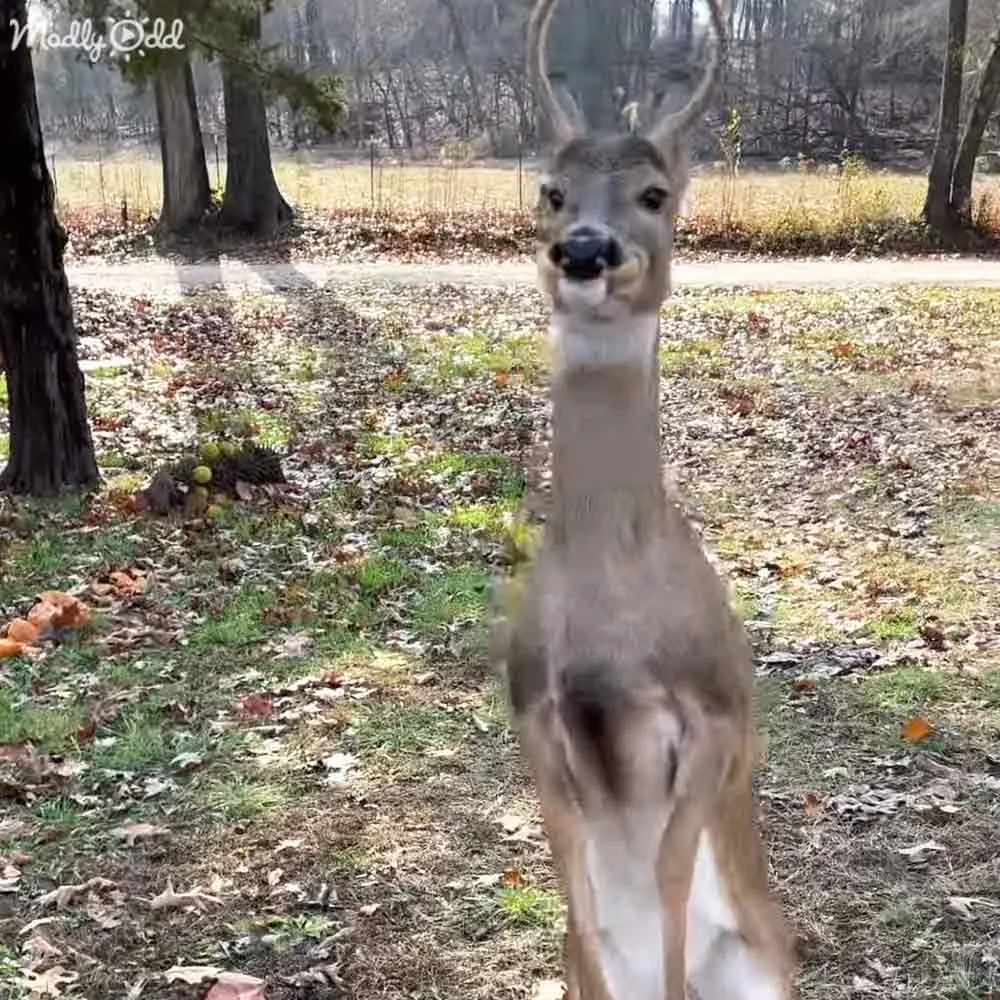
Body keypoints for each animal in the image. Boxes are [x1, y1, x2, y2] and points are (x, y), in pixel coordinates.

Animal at [500, 1, 795, 999]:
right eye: (552, 191)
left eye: (656, 193)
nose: (586, 251)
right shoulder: (532, 716)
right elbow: (578, 892)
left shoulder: (718, 715)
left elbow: (668, 875)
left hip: (768, 956)